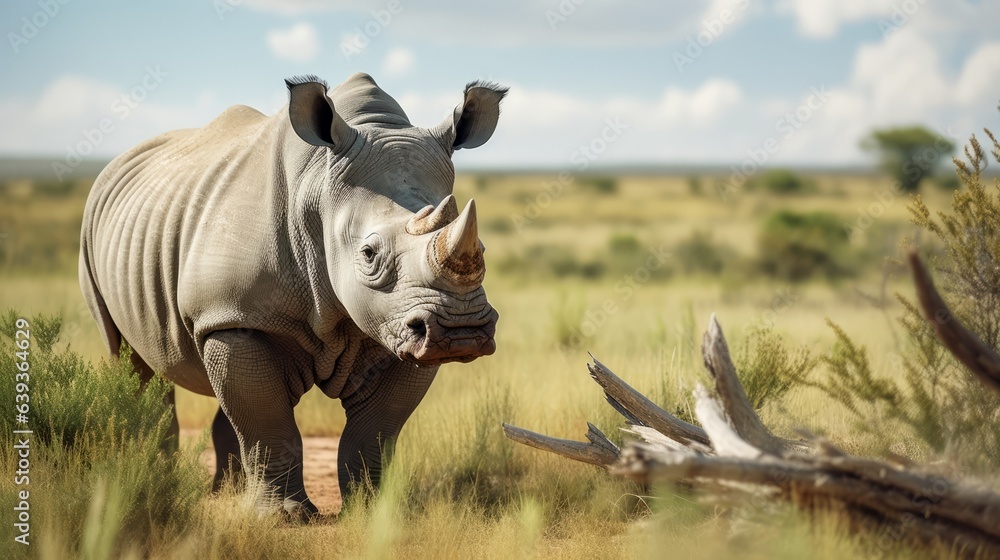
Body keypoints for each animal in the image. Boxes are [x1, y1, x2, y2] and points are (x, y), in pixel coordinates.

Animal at [79, 73, 505, 517]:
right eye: (368, 255)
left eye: (483, 249)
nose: (460, 329)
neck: (318, 190)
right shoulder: (232, 314)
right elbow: (267, 419)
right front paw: (283, 517)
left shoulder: (400, 326)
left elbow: (375, 429)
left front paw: (372, 511)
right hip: (95, 236)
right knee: (131, 359)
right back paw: (156, 479)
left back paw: (226, 492)